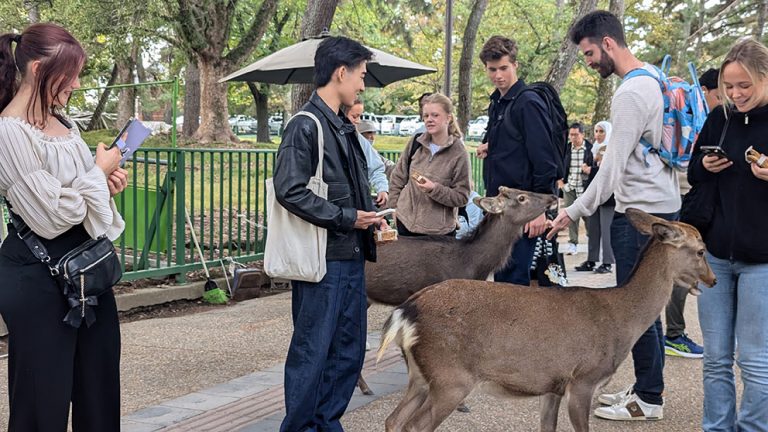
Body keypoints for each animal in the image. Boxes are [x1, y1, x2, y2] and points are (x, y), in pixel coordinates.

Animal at [376, 208, 716, 430]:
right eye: (701, 251)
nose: (712, 280)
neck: (621, 319)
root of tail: (405, 313)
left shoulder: (553, 385)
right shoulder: (583, 379)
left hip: (421, 375)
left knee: (394, 420)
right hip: (451, 377)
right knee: (414, 426)